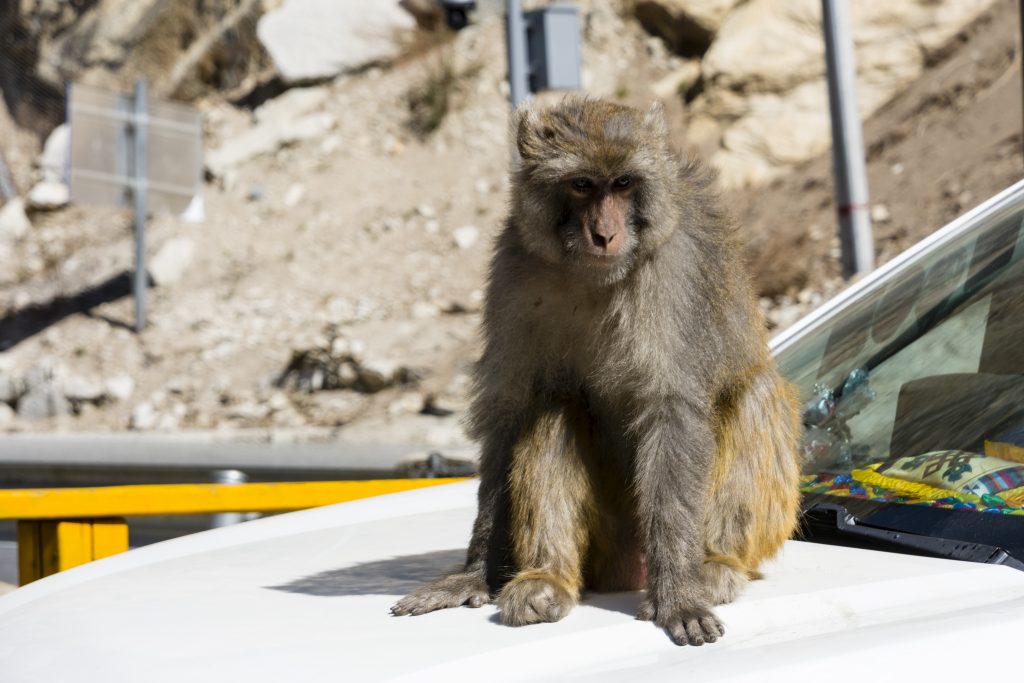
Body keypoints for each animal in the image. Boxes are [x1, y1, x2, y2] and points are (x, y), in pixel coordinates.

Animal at [391, 96, 798, 647]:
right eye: (582, 185)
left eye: (623, 183)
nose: (605, 233)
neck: (591, 275)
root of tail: (630, 569)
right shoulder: (513, 270)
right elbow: (510, 415)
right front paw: (475, 573)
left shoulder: (674, 270)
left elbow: (670, 411)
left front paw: (679, 593)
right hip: (606, 544)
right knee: (554, 408)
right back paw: (547, 580)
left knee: (756, 393)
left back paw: (713, 565)